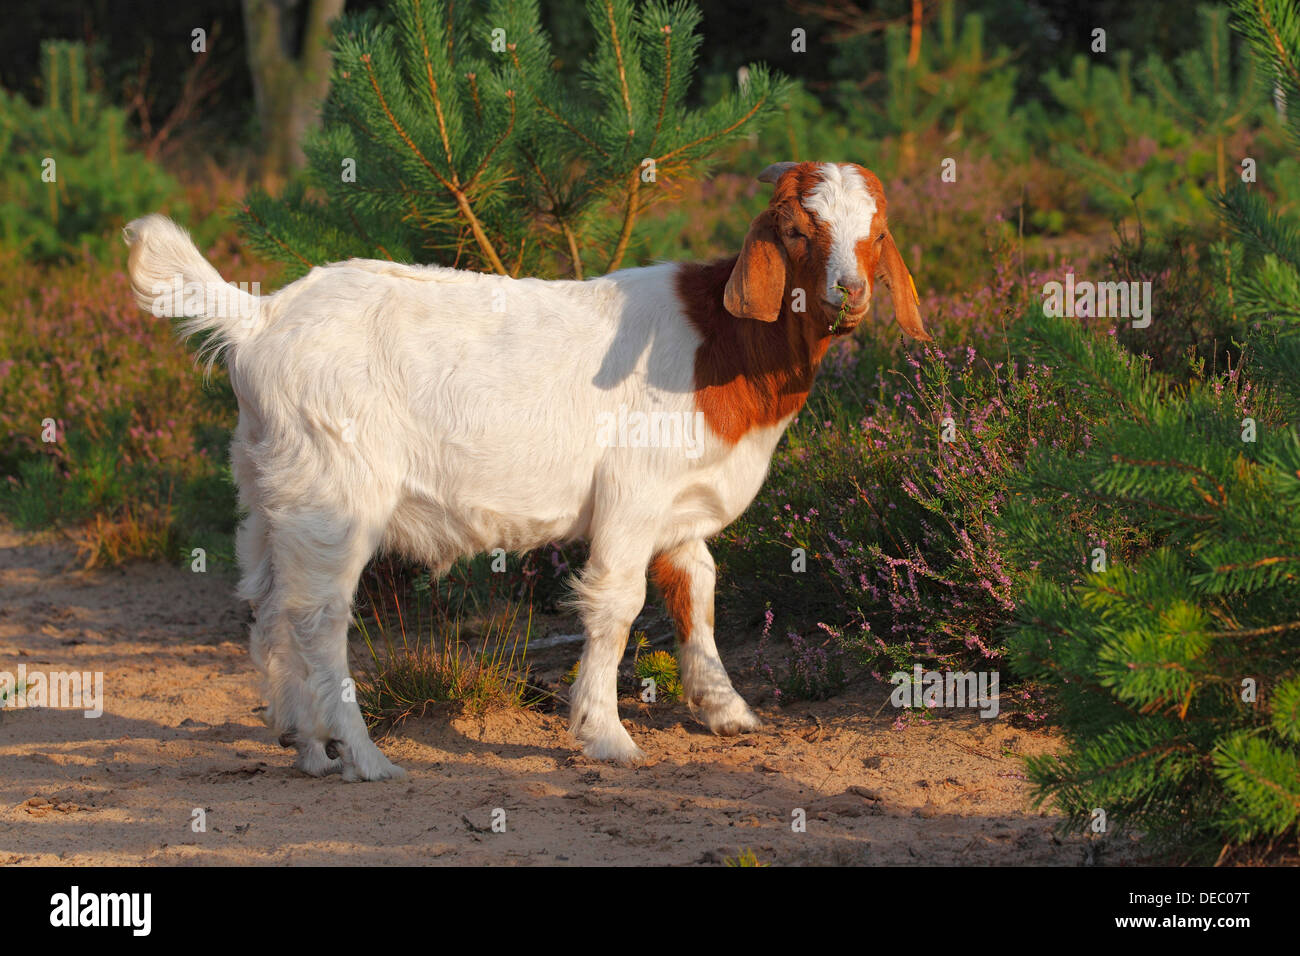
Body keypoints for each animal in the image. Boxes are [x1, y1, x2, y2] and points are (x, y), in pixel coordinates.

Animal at [124, 160, 929, 781]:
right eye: (796, 231)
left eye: (879, 235)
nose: (849, 294)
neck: (721, 347)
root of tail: (260, 320)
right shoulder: (633, 494)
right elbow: (618, 603)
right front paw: (606, 735)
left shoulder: (679, 506)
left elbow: (695, 588)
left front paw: (725, 708)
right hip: (336, 494)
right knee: (319, 618)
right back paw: (364, 757)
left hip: (269, 496)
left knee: (268, 606)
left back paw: (308, 749)